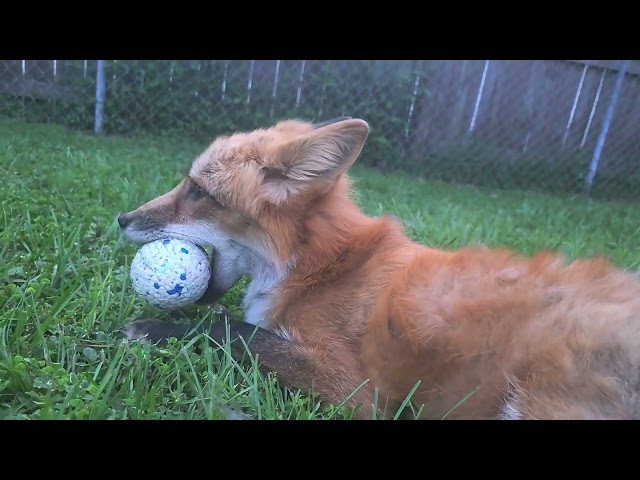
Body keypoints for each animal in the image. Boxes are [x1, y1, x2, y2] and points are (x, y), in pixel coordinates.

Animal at [118, 116, 640, 420]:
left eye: (198, 192)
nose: (121, 219)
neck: (322, 266)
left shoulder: (352, 390)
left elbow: (233, 333)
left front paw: (154, 329)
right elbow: (233, 323)